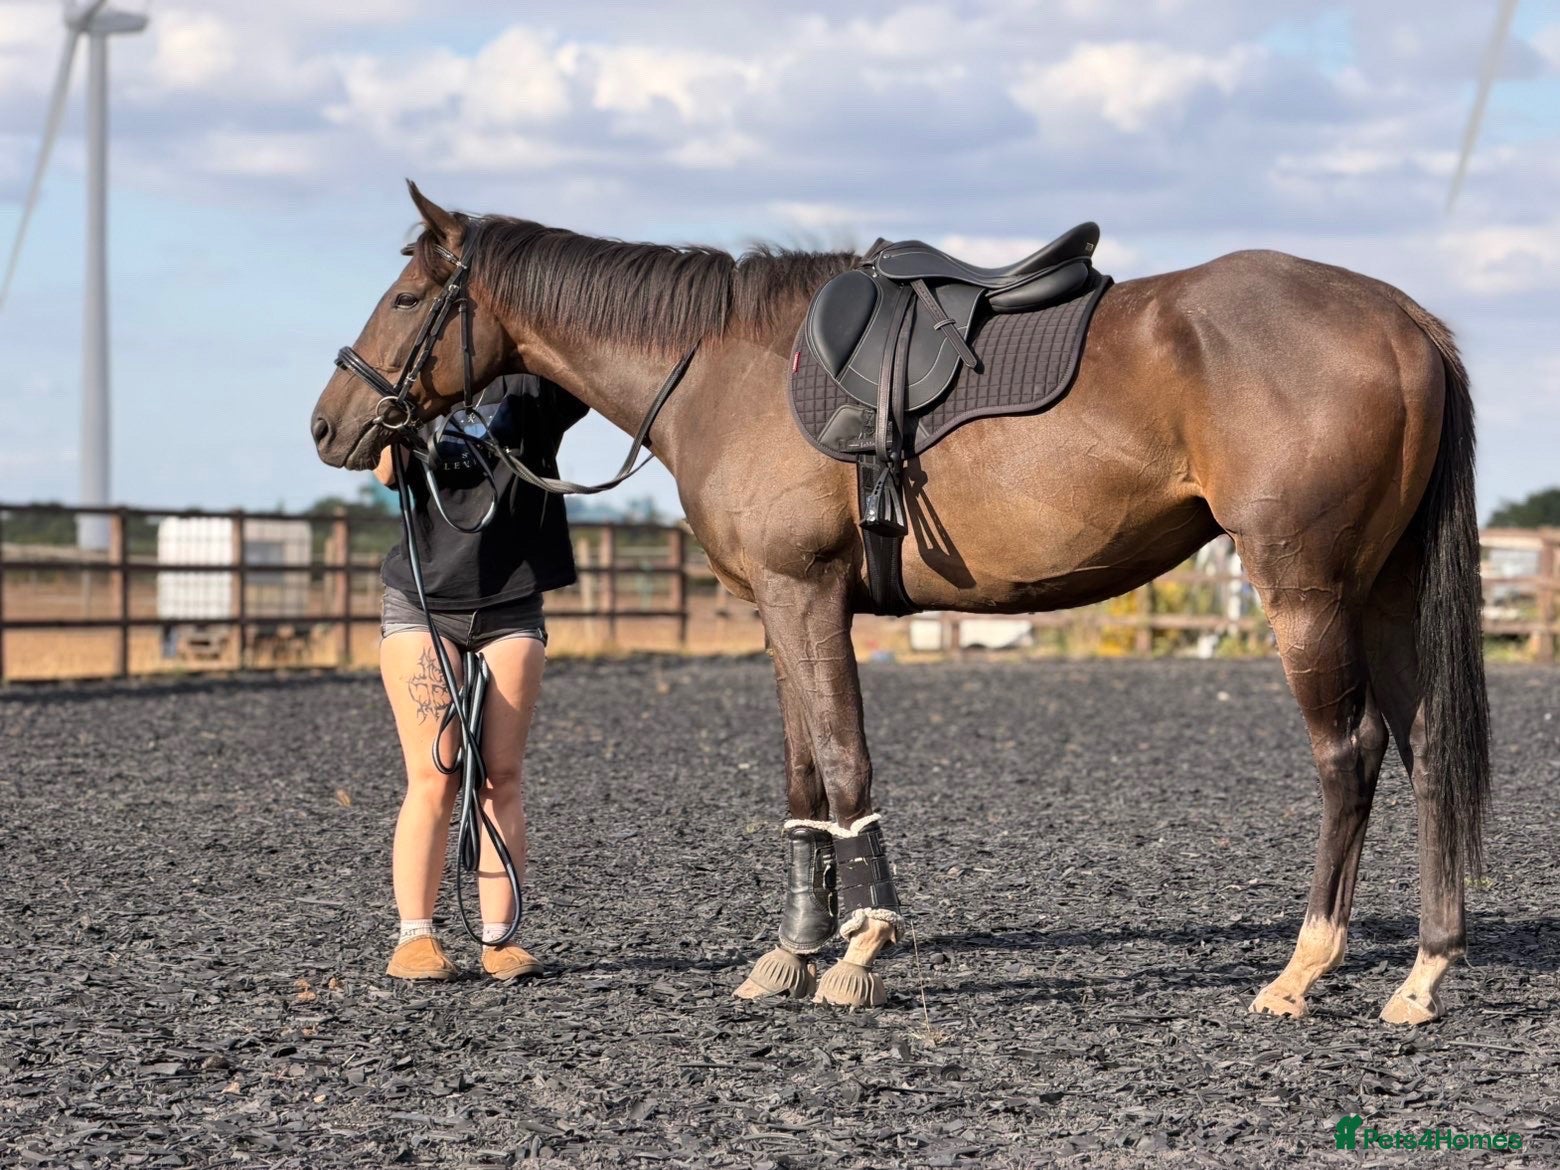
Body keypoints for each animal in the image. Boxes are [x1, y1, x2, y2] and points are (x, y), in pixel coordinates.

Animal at [311, 182, 1489, 1024]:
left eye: (409, 298)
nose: (329, 425)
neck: (724, 367)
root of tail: (1403, 319)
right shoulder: (782, 608)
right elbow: (801, 775)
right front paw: (793, 950)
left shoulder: (804, 596)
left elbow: (843, 763)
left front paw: (863, 949)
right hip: (1382, 594)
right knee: (1429, 744)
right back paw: (1423, 975)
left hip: (1306, 593)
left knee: (1349, 754)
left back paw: (1305, 967)